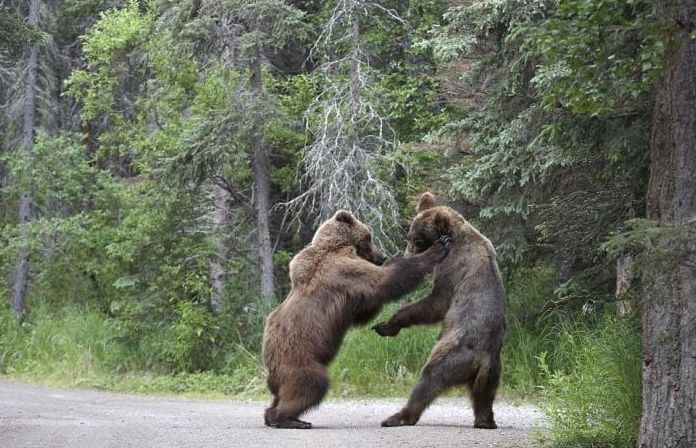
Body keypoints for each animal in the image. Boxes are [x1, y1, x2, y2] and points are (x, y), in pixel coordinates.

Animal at [262, 210, 452, 430]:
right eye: (369, 236)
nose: (382, 256)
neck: (334, 245)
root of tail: (269, 364)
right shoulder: (344, 272)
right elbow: (384, 281)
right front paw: (438, 247)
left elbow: (362, 311)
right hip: (299, 358)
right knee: (310, 384)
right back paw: (288, 419)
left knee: (284, 394)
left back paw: (279, 416)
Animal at [376, 192, 506, 428]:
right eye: (409, 236)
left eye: (417, 240)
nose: (407, 258)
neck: (456, 237)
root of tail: (482, 359)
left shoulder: (453, 267)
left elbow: (437, 303)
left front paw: (387, 324)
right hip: (493, 372)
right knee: (484, 397)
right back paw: (485, 421)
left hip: (452, 355)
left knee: (429, 379)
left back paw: (397, 417)